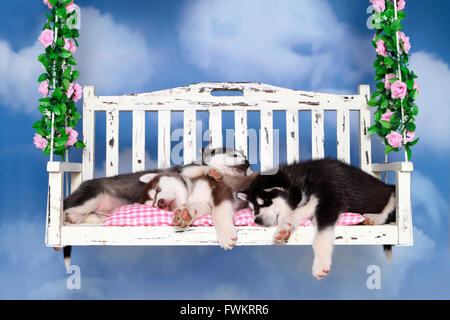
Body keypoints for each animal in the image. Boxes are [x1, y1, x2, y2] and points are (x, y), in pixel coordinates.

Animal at [237, 159, 396, 278]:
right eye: (253, 209)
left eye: (265, 202)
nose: (257, 220)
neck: (303, 182)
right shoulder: (310, 203)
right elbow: (294, 213)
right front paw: (283, 230)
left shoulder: (331, 199)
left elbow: (320, 237)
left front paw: (321, 265)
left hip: (392, 192)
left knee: (390, 208)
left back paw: (374, 217)